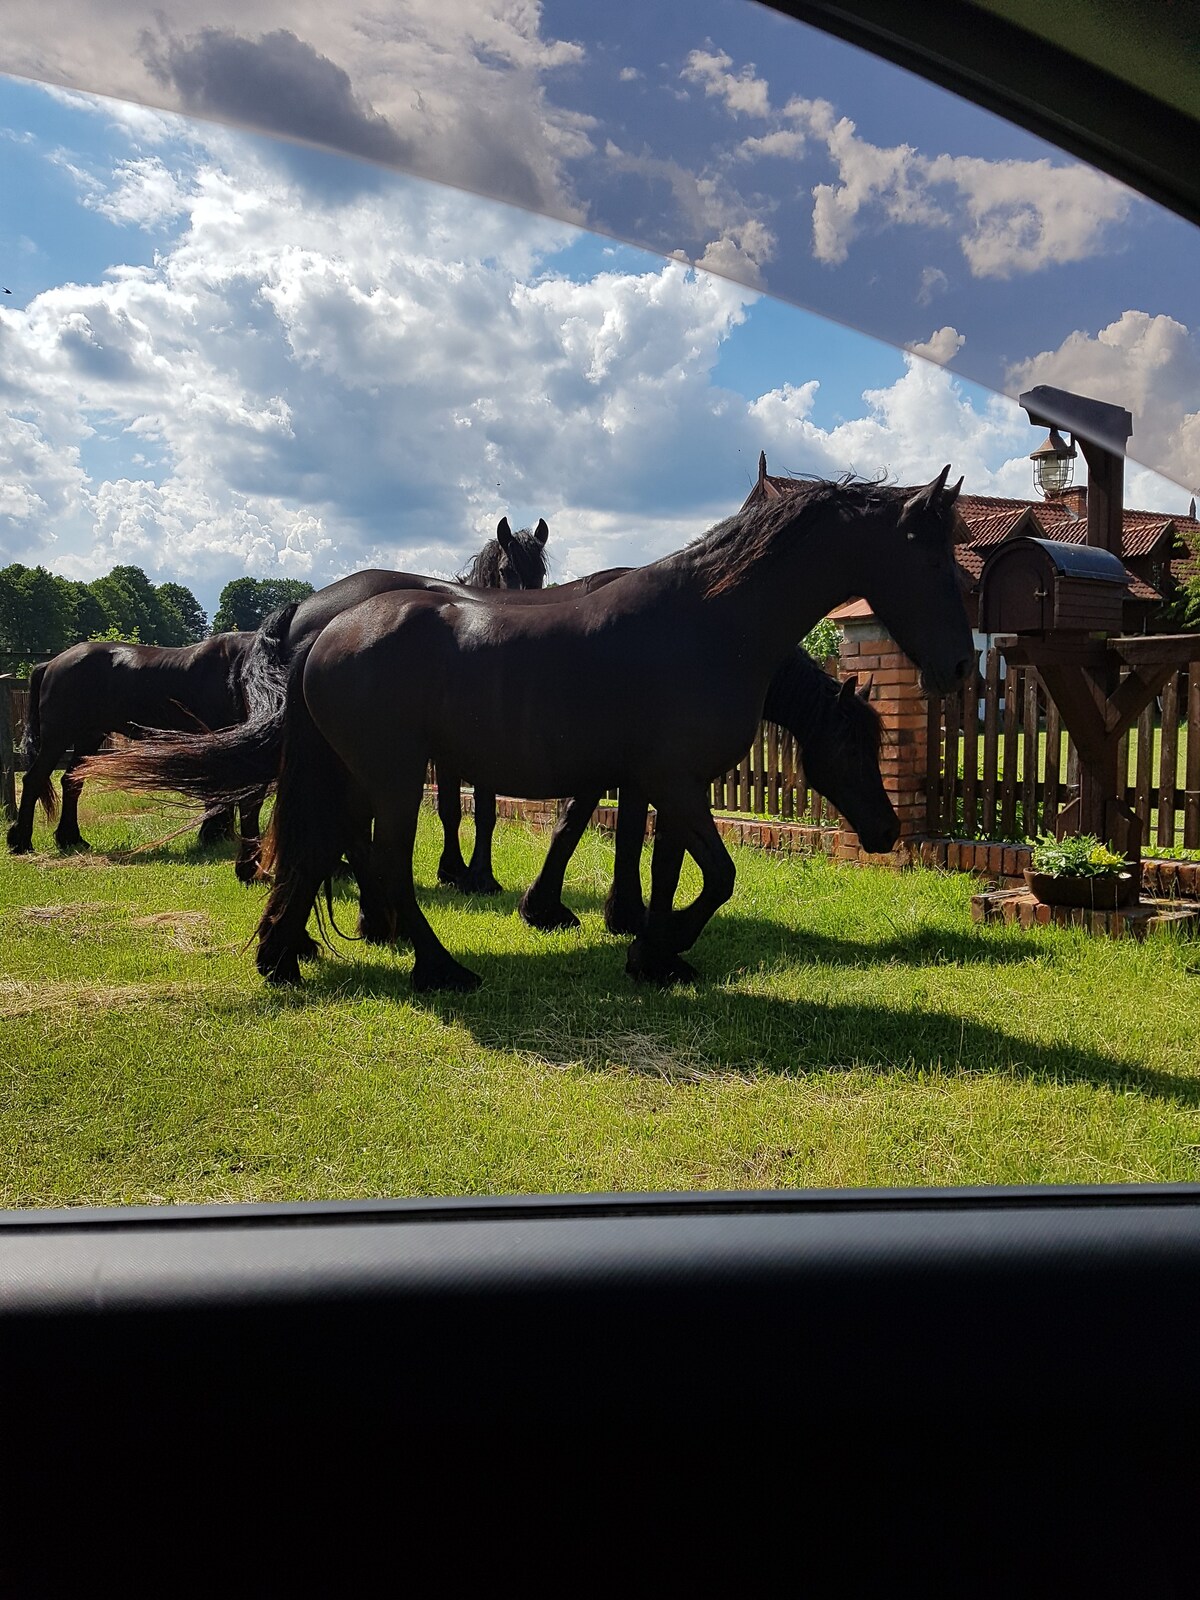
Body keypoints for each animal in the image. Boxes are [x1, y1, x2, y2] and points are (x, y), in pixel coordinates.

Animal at [8, 630, 262, 883]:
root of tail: (51, 664)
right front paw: (214, 834)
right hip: (58, 738)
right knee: (34, 779)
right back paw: (21, 842)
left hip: (88, 738)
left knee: (72, 782)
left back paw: (71, 839)